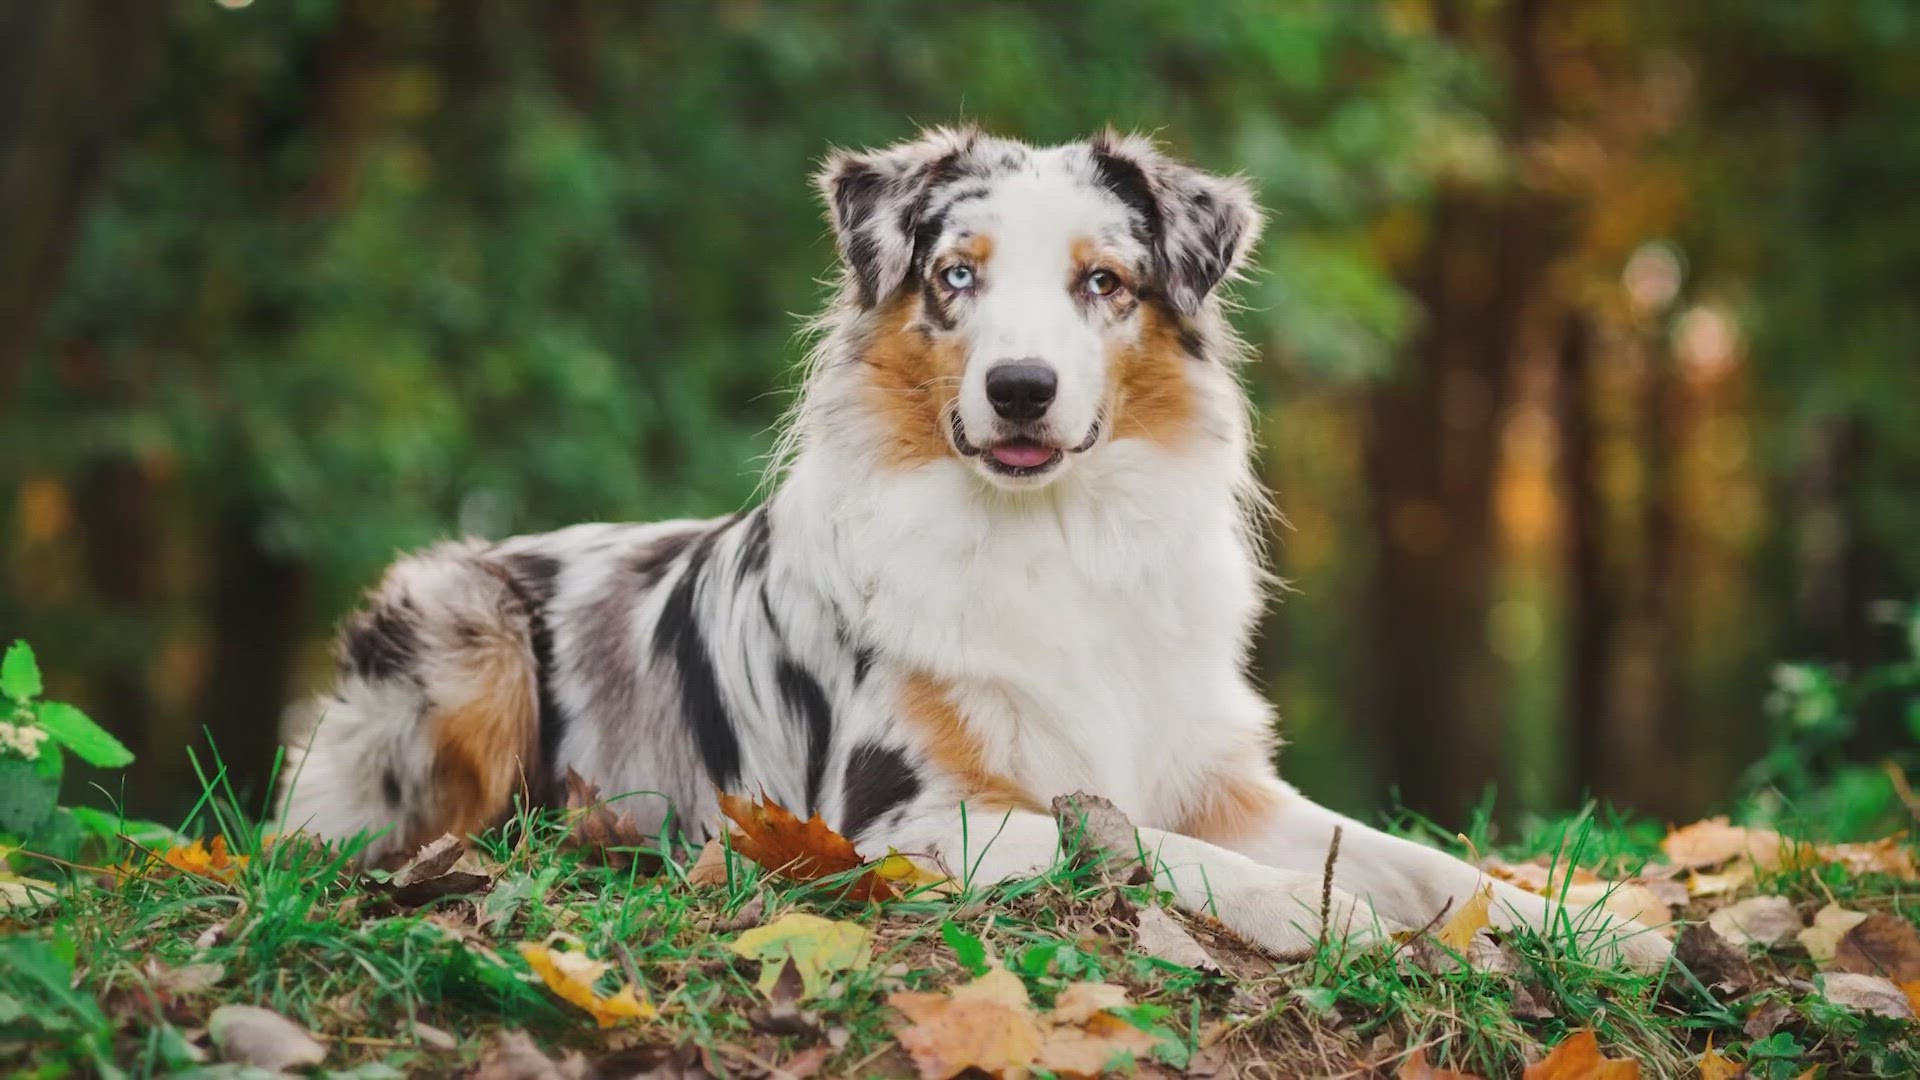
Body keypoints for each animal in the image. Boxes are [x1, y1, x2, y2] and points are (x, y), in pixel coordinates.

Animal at [280, 125, 1666, 968]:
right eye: (957, 275)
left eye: (1103, 283)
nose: (1020, 388)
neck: (1053, 535)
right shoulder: (897, 819)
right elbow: (1132, 842)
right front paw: (1295, 909)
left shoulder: (1217, 776)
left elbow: (1409, 857)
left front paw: (1596, 923)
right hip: (460, 622)